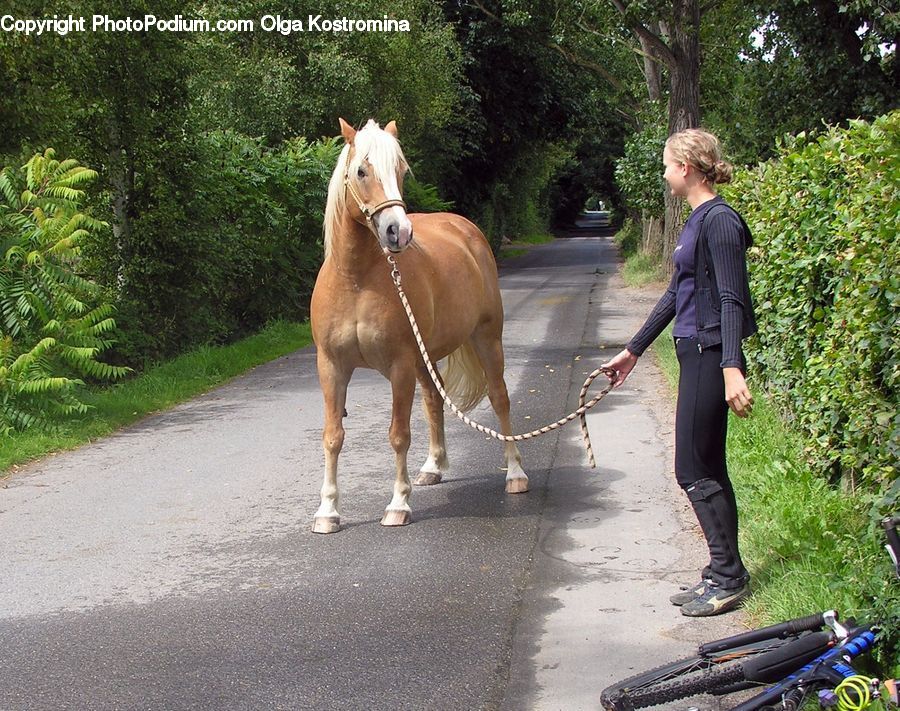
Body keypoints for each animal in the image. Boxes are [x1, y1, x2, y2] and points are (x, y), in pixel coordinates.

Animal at [309, 118, 529, 534]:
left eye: (400, 171)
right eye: (361, 171)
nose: (399, 232)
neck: (356, 280)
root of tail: (465, 229)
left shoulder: (399, 366)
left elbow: (398, 435)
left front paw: (398, 504)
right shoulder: (331, 366)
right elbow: (332, 437)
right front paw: (327, 511)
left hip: (486, 339)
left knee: (500, 398)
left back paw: (515, 474)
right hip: (425, 358)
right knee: (434, 397)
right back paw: (433, 467)